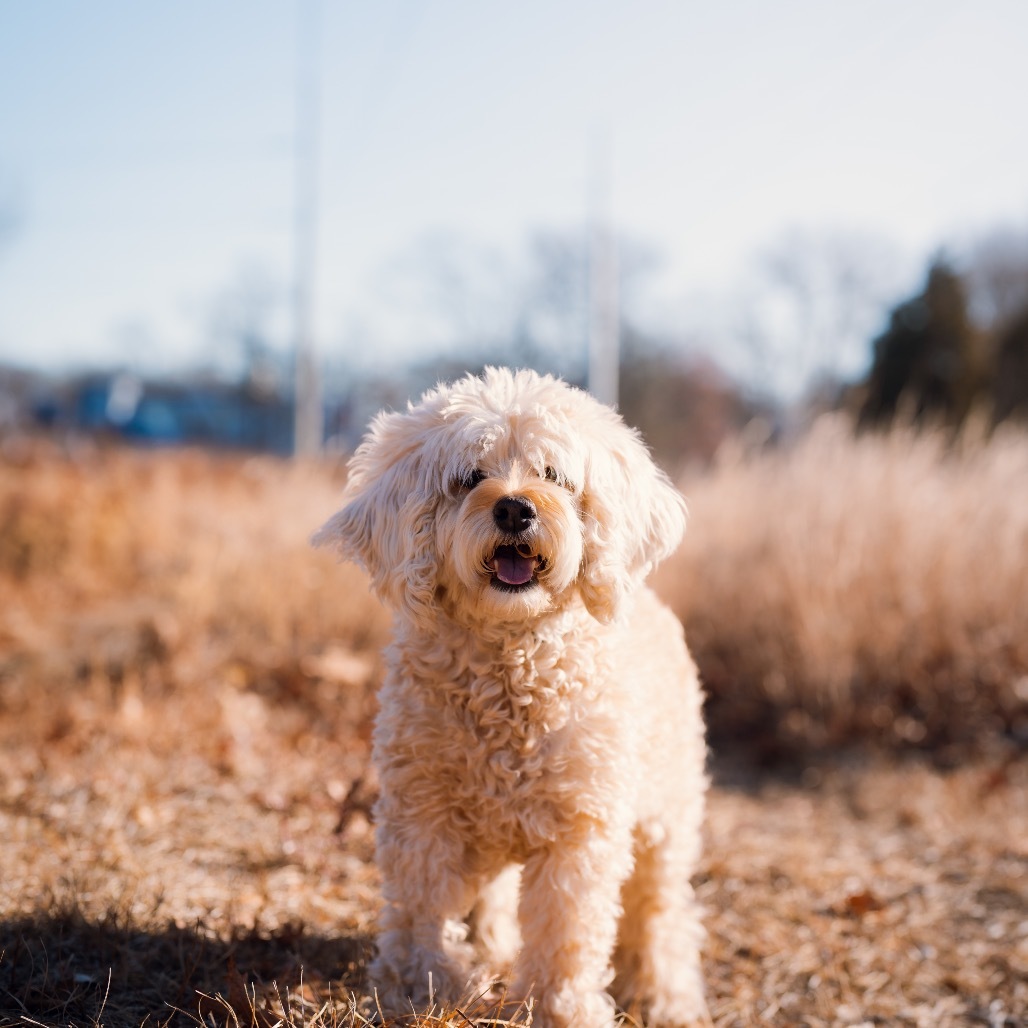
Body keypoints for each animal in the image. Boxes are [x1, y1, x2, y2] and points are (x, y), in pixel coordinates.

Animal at [316, 365, 711, 1023]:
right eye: (470, 477)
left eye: (553, 474)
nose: (514, 508)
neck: (509, 662)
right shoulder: (422, 810)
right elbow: (419, 907)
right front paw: (419, 987)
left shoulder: (581, 828)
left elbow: (567, 928)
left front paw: (559, 1007)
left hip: (667, 814)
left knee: (661, 906)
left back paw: (664, 994)